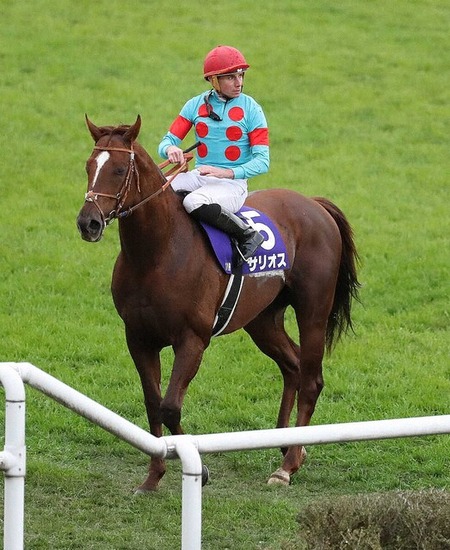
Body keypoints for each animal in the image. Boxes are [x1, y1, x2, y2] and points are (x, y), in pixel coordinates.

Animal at [75, 115, 360, 492]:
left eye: (120, 170)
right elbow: (152, 403)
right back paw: (288, 446)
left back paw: (287, 466)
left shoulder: (192, 340)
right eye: (89, 166)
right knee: (293, 367)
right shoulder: (138, 338)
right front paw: (153, 477)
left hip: (313, 311)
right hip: (262, 320)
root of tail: (313, 204)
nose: (88, 223)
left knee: (311, 379)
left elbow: (170, 406)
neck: (157, 254)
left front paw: (201, 469)